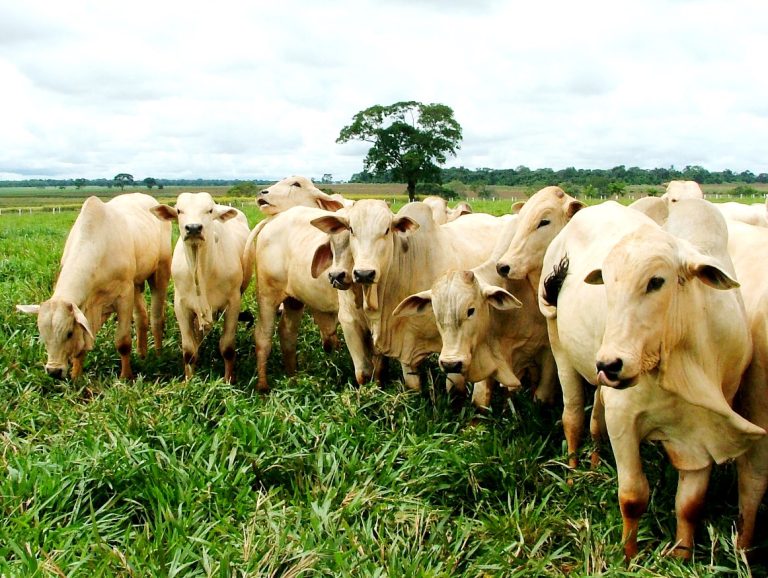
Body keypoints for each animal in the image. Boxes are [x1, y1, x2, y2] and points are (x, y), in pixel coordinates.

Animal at [17, 193, 171, 380]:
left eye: (68, 333)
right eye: (42, 334)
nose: (54, 371)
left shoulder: (124, 294)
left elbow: (123, 342)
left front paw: (125, 376)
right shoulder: (89, 306)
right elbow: (81, 346)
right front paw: (76, 376)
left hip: (160, 272)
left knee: (156, 317)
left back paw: (159, 354)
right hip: (136, 284)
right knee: (142, 316)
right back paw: (142, 355)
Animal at [151, 193, 254, 382]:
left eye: (210, 210)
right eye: (179, 210)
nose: (193, 228)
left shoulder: (233, 302)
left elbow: (227, 348)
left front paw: (228, 380)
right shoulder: (181, 305)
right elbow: (189, 350)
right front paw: (189, 381)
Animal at [539, 199, 764, 559]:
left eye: (656, 281)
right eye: (608, 283)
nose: (609, 363)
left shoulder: (703, 431)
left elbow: (690, 504)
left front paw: (682, 555)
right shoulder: (624, 418)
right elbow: (633, 497)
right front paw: (629, 557)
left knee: (595, 422)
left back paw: (594, 466)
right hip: (559, 345)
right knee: (573, 417)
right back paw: (573, 476)